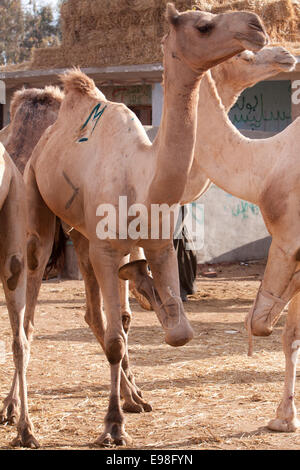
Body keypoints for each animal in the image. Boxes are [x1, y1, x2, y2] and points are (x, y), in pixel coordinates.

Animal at [13, 3, 268, 446]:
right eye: (203, 26)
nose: (256, 24)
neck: (143, 177)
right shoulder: (107, 247)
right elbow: (117, 339)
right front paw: (113, 425)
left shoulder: (159, 243)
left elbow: (176, 332)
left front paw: (149, 291)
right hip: (37, 207)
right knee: (29, 318)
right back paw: (22, 423)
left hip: (83, 235)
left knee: (96, 314)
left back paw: (134, 395)